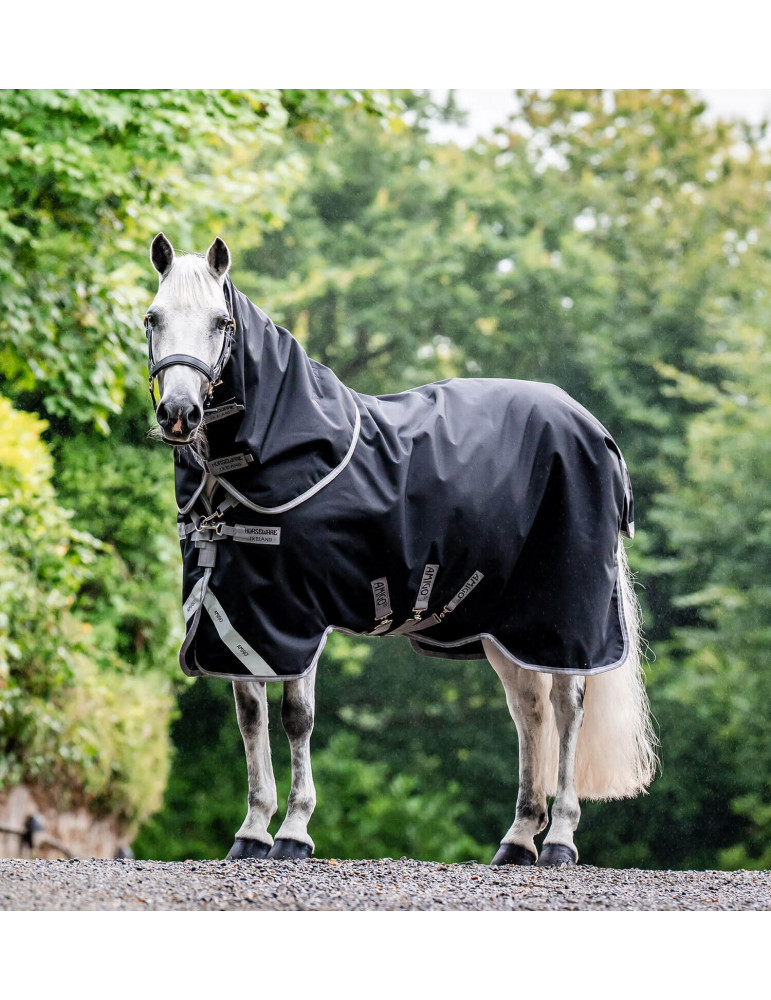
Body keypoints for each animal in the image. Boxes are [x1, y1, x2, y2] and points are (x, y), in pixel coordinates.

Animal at [145, 232, 658, 866]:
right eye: (153, 317)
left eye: (221, 322)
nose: (178, 413)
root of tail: (595, 430)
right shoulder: (244, 616)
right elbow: (250, 716)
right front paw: (251, 831)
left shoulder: (296, 615)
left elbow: (296, 717)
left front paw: (293, 832)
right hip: (509, 626)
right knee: (530, 712)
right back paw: (517, 840)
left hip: (564, 615)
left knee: (567, 707)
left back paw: (559, 838)